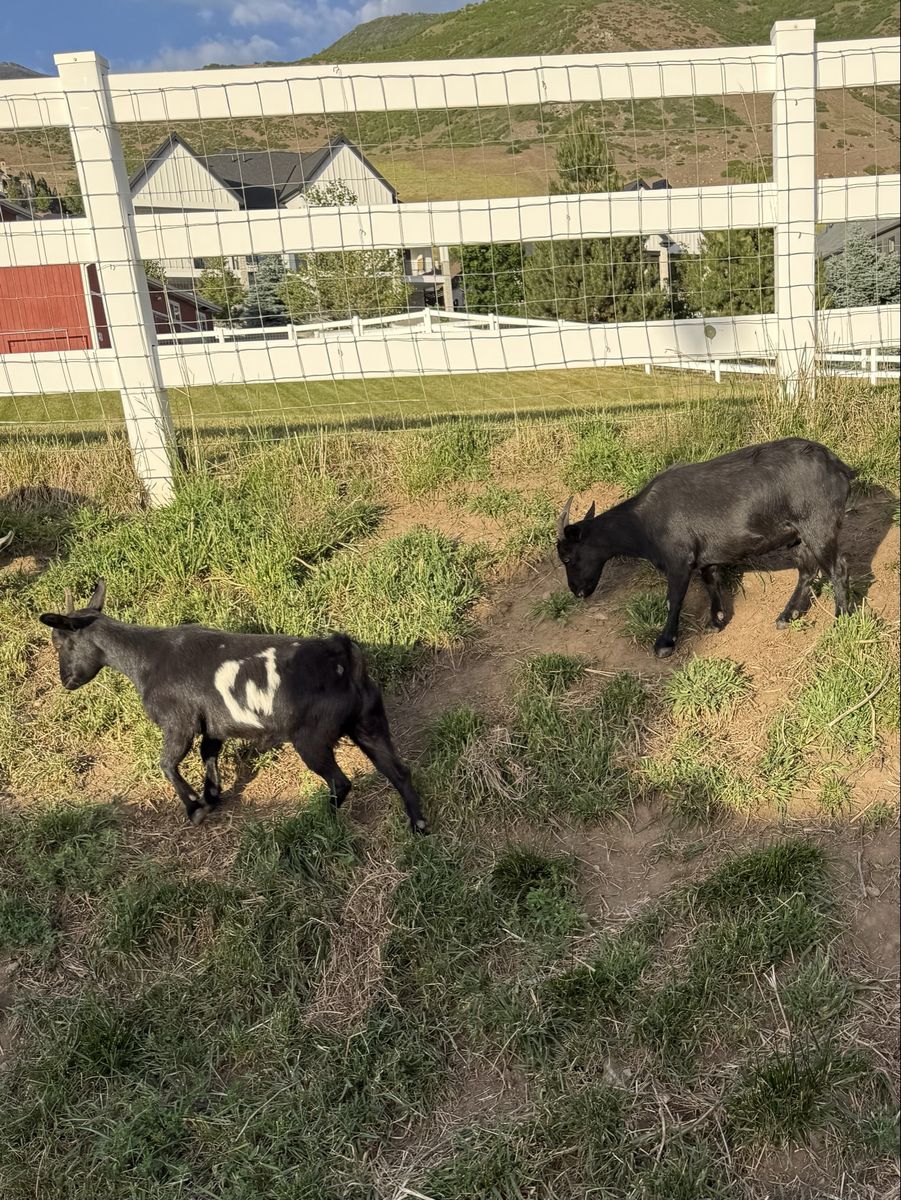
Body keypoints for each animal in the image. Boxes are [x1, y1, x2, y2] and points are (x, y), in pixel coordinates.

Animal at [39, 581, 429, 832]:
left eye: (59, 642)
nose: (66, 680)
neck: (146, 658)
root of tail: (342, 654)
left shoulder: (178, 723)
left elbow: (166, 763)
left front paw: (194, 808)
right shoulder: (213, 724)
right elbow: (208, 753)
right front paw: (211, 796)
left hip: (312, 738)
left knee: (341, 781)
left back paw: (318, 818)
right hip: (368, 722)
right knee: (398, 770)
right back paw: (419, 823)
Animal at [556, 437, 856, 658]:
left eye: (567, 557)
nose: (577, 591)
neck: (640, 523)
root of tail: (839, 467)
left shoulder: (678, 560)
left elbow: (673, 599)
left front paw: (665, 643)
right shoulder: (706, 557)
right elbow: (711, 581)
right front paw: (716, 620)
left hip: (818, 523)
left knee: (838, 568)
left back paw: (841, 618)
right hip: (797, 535)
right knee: (807, 570)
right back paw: (787, 615)